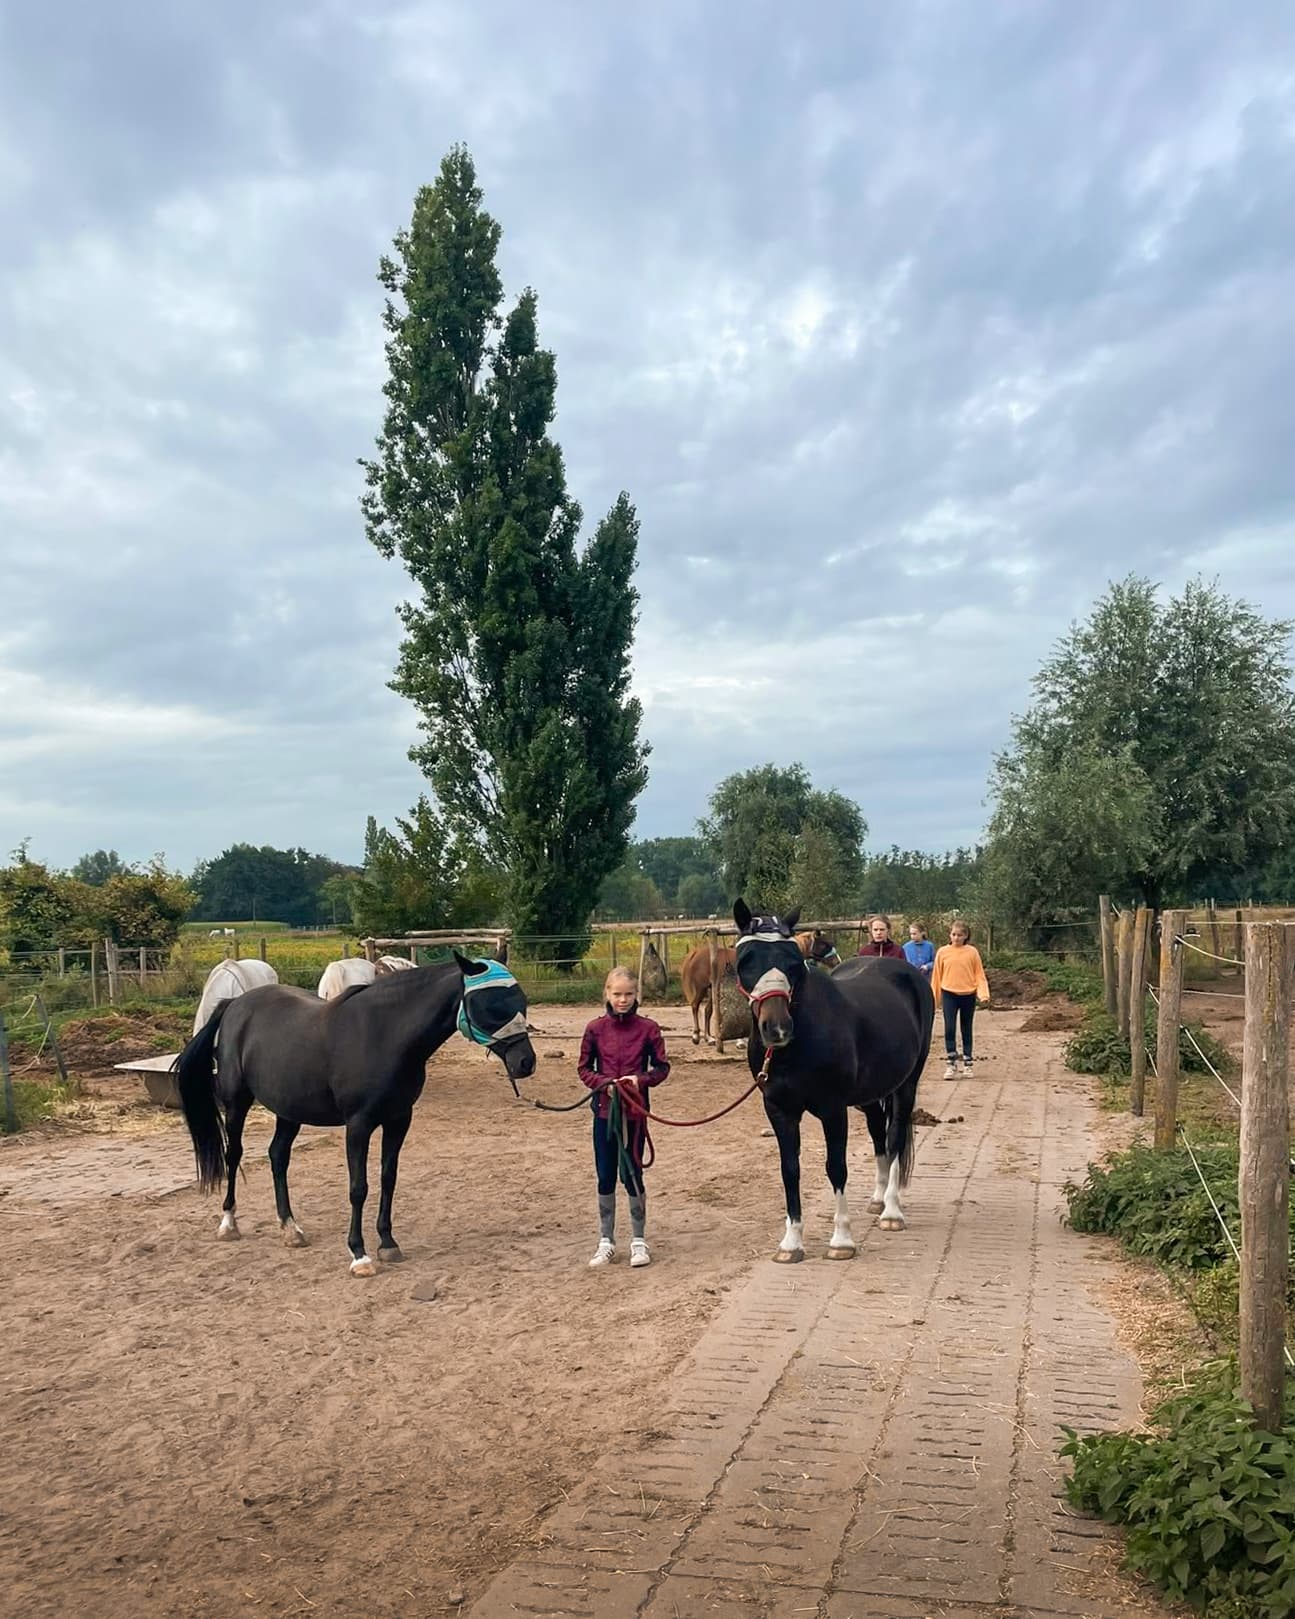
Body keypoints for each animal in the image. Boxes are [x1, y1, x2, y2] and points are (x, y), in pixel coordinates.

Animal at [172, 953, 536, 1275]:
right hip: (237, 1102)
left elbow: (388, 1178)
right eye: (489, 1004)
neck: (385, 1035)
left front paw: (388, 1243)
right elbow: (358, 1187)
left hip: (289, 1109)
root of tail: (234, 1004)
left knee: (278, 1156)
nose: (525, 1062)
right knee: (234, 1154)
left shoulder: (399, 1120)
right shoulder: (358, 1125)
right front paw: (359, 1254)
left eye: (520, 1000)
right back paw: (229, 1223)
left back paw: (290, 1228)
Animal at [733, 900, 933, 1262]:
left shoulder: (833, 1110)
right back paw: (878, 1199)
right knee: (878, 1134)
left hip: (906, 1085)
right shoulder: (779, 1110)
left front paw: (841, 1241)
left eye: (792, 961)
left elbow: (836, 1167)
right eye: (746, 961)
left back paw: (892, 1211)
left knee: (894, 1137)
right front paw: (791, 1243)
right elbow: (790, 1170)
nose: (777, 1028)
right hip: (870, 1096)